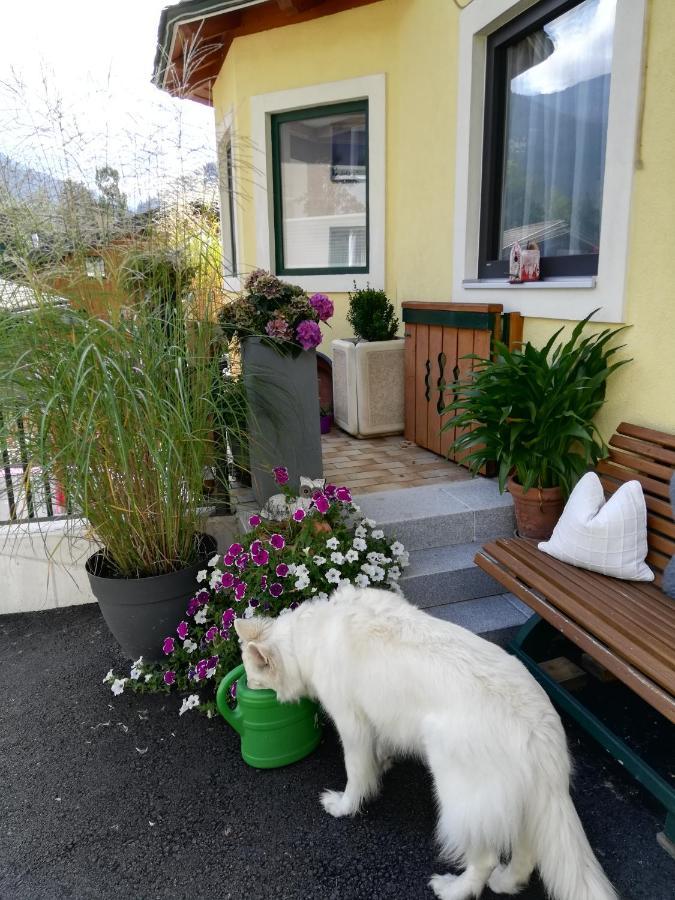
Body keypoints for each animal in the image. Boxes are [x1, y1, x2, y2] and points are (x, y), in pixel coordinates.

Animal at [234, 584, 616, 900]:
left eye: (252, 677)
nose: (244, 695)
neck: (309, 636)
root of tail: (538, 729)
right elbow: (378, 751)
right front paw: (383, 763)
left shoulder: (352, 726)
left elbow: (356, 774)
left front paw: (344, 806)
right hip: (524, 801)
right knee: (526, 853)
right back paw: (507, 882)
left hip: (454, 784)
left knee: (486, 859)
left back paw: (454, 890)